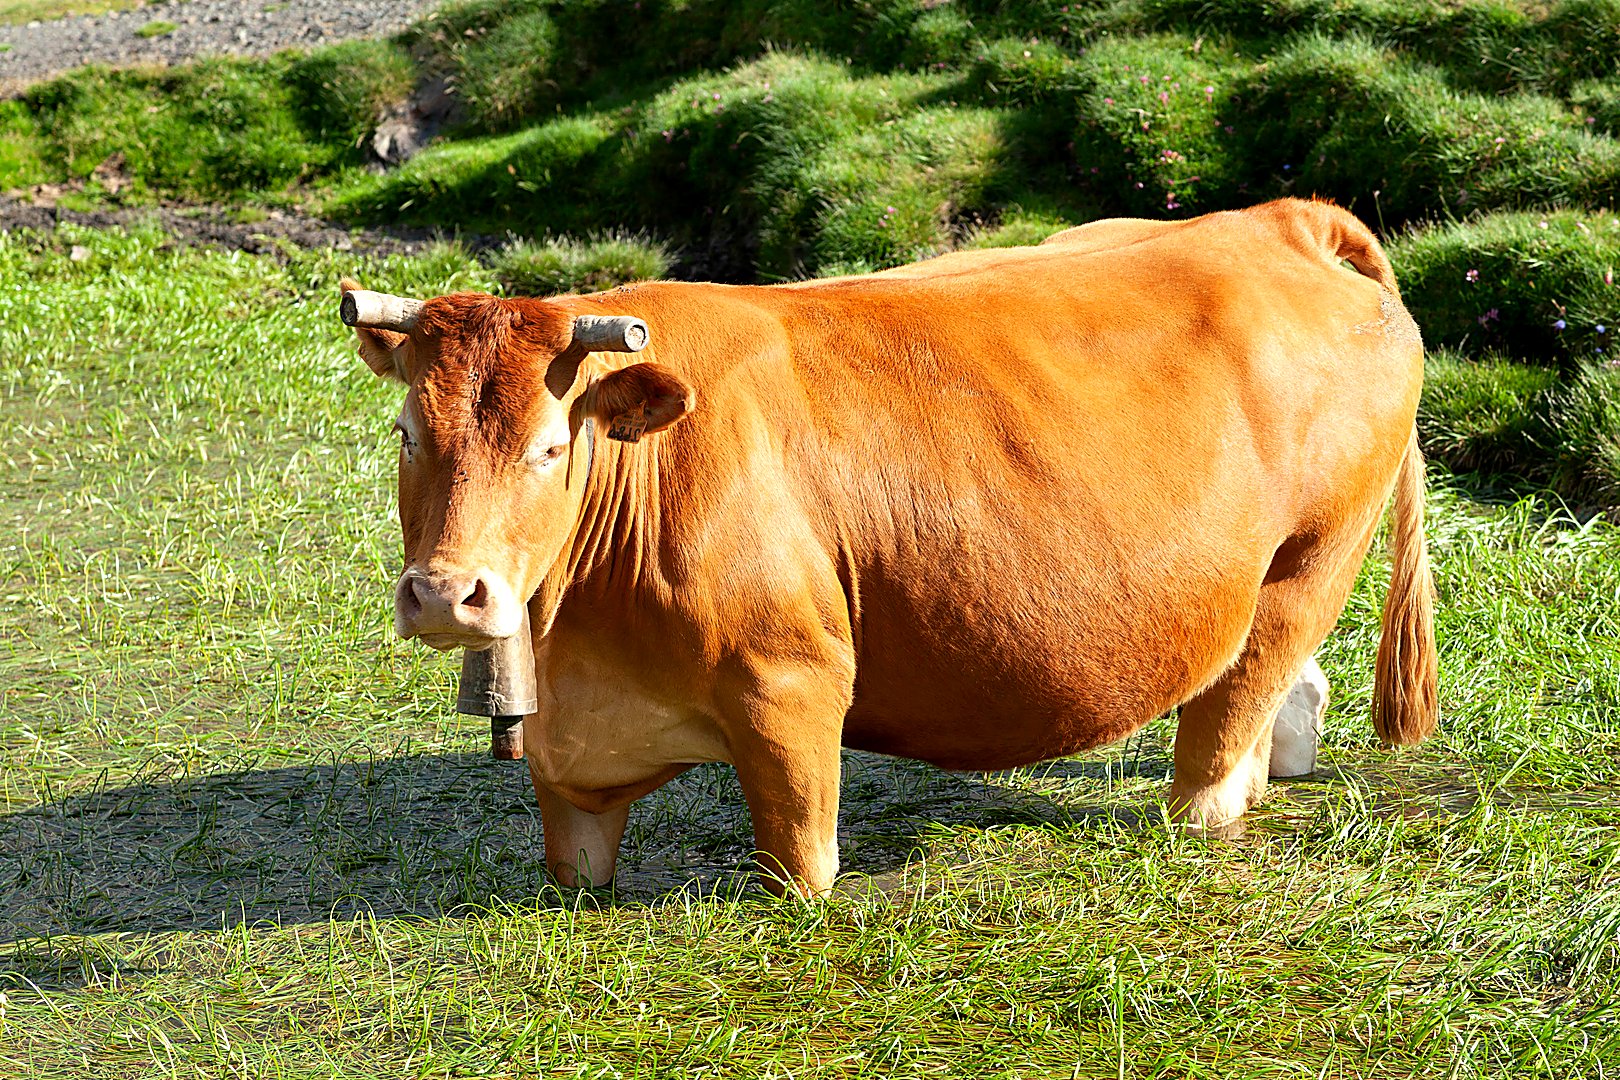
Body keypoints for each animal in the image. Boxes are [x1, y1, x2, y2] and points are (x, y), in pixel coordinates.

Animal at [345, 198, 1445, 893]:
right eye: (405, 433)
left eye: (550, 444)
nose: (446, 595)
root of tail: (1278, 221)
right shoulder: (570, 755)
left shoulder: (790, 684)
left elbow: (799, 866)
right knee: (1285, 689)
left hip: (1312, 556)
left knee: (1227, 732)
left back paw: (1213, 807)